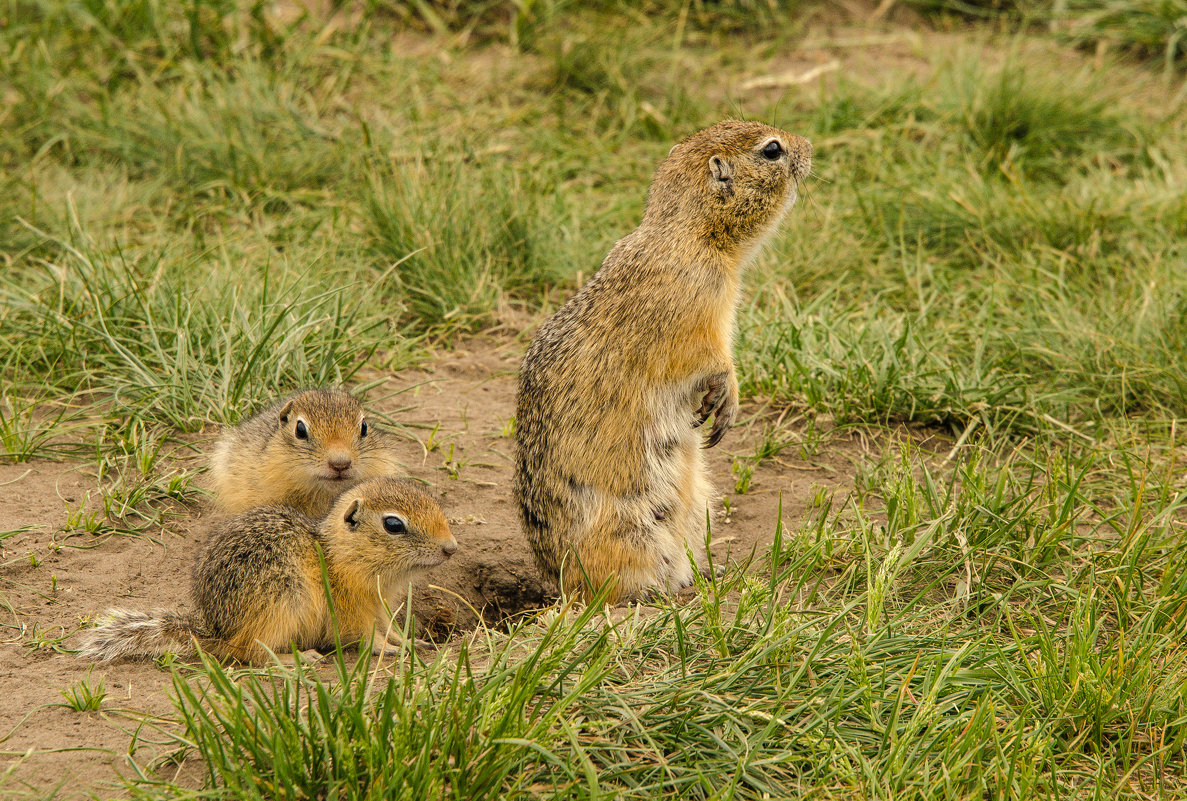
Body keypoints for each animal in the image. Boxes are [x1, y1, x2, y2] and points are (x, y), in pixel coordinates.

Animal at [77, 479, 458, 659]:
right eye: (394, 525)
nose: (451, 548)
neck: (341, 555)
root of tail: (218, 632)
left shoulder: (380, 606)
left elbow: (391, 629)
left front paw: (412, 641)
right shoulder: (353, 610)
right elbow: (367, 638)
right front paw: (390, 649)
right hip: (282, 603)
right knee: (251, 654)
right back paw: (299, 659)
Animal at [515, 120, 811, 602]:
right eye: (772, 150)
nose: (810, 148)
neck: (690, 233)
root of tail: (560, 584)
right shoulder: (695, 312)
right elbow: (710, 358)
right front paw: (728, 398)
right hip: (632, 528)